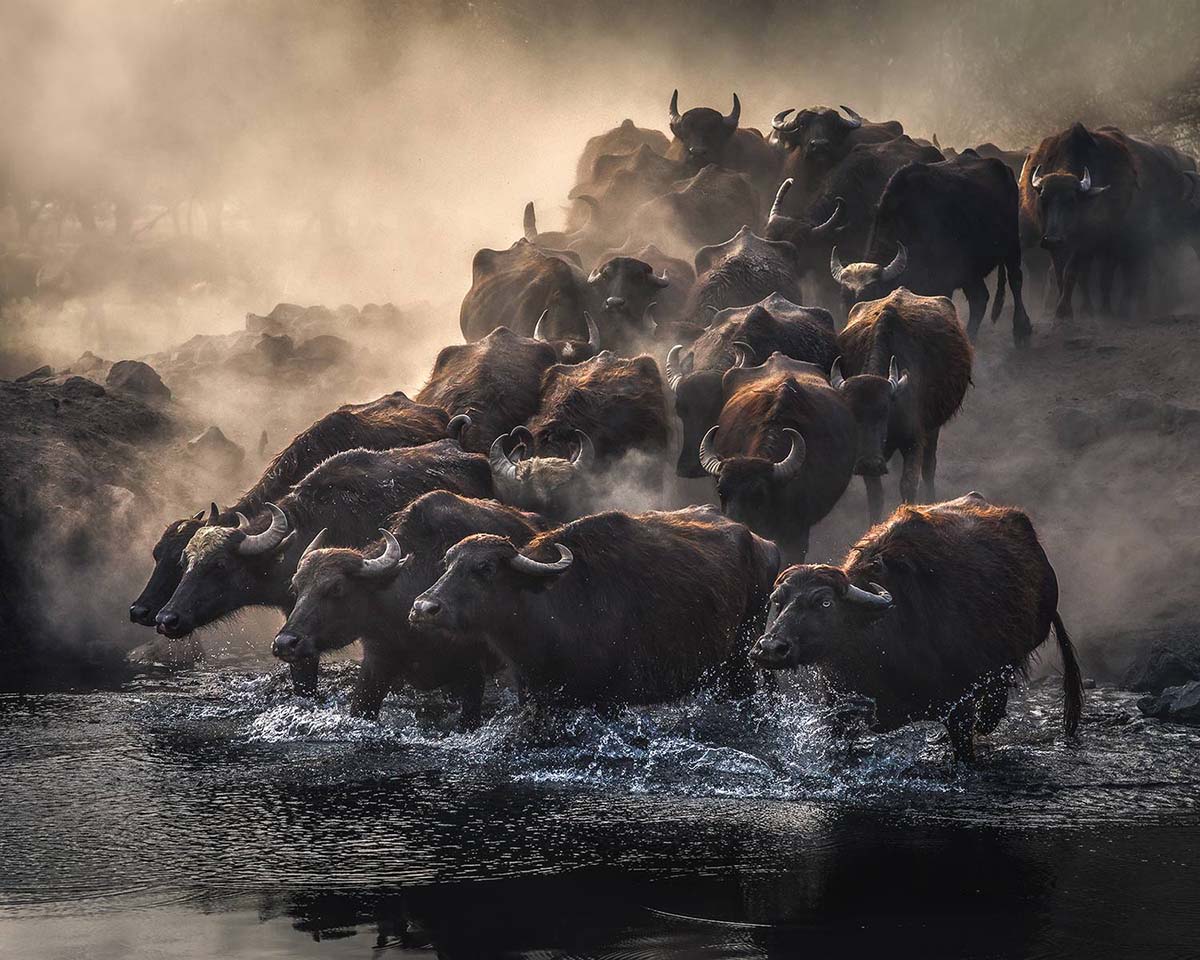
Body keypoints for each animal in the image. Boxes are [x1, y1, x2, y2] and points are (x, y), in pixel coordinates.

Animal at [408, 501, 782, 705]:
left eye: (485, 568)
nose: (424, 608)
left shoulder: (610, 699)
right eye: (447, 562)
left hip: (743, 662)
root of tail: (764, 544)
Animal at [748, 492, 1080, 763]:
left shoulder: (959, 709)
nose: (770, 648)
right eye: (778, 601)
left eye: (825, 603)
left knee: (994, 705)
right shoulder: (838, 711)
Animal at [835, 150, 1032, 345]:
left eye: (871, 297)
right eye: (845, 302)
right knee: (980, 299)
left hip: (1012, 246)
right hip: (970, 271)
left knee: (1015, 280)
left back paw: (1022, 331)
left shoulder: (943, 285)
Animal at [835, 286, 974, 520]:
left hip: (933, 427)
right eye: (852, 413)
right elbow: (875, 496)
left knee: (929, 467)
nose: (869, 464)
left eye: (884, 410)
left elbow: (909, 484)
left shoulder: (914, 440)